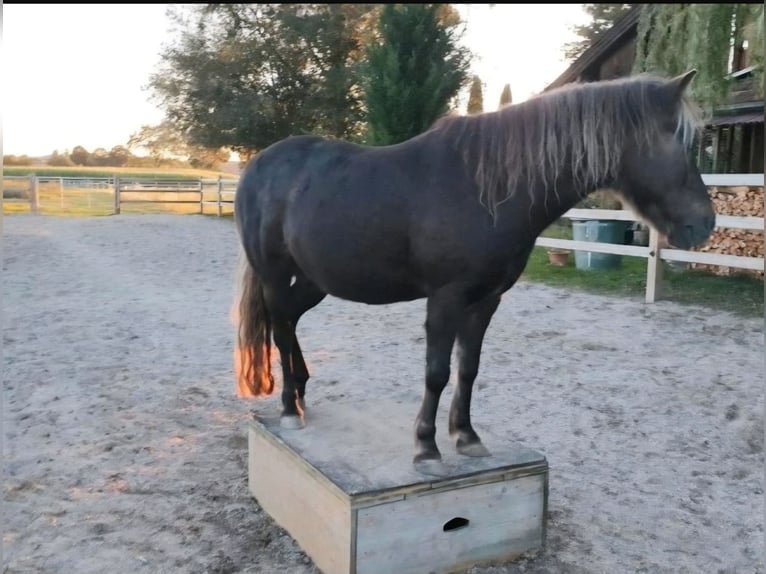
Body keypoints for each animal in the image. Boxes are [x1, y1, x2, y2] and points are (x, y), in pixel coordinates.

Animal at [231, 70, 715, 474]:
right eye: (679, 141)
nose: (704, 224)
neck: (487, 191)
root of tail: (259, 164)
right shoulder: (445, 298)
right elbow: (437, 372)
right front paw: (427, 448)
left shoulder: (486, 299)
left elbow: (469, 369)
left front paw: (466, 436)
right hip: (274, 273)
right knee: (280, 328)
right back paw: (290, 408)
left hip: (316, 279)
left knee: (290, 320)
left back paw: (302, 392)